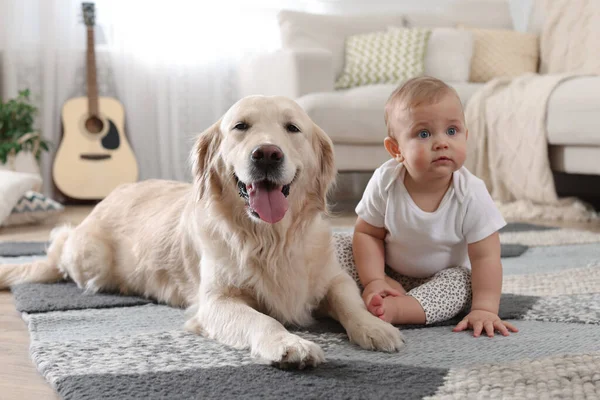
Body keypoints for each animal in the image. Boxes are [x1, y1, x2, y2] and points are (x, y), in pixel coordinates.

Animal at [0, 94, 406, 368]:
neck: (270, 238)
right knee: (58, 246)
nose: (267, 154)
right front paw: (290, 345)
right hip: (89, 259)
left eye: (293, 128)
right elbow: (263, 319)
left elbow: (350, 300)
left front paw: (375, 327)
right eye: (240, 127)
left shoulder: (332, 277)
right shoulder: (215, 302)